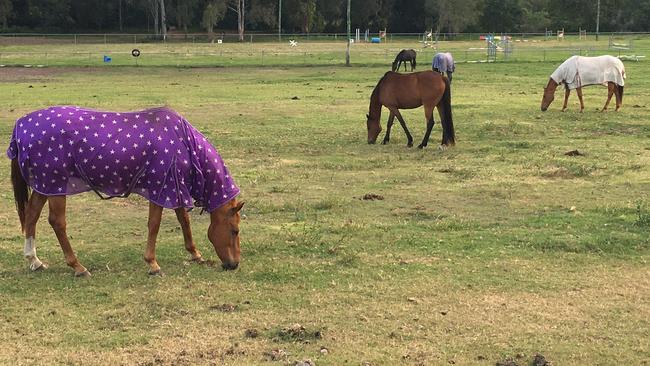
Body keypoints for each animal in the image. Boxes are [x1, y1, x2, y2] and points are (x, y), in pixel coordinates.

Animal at [9, 106, 243, 278]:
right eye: (235, 231)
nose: (233, 265)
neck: (182, 141)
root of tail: (21, 124)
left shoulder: (173, 188)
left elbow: (183, 219)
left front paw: (195, 254)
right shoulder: (161, 187)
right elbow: (155, 225)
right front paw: (152, 263)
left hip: (45, 185)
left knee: (31, 216)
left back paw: (34, 260)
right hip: (56, 185)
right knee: (57, 222)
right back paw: (77, 266)